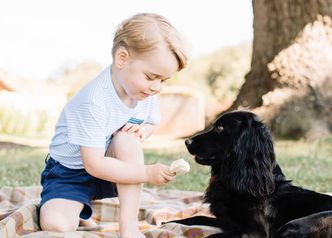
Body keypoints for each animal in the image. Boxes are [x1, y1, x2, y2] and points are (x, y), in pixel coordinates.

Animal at [170, 111, 330, 238]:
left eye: (220, 128)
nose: (187, 141)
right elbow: (196, 217)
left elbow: (212, 236)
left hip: (292, 226)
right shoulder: (226, 221)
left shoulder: (255, 233)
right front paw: (169, 222)